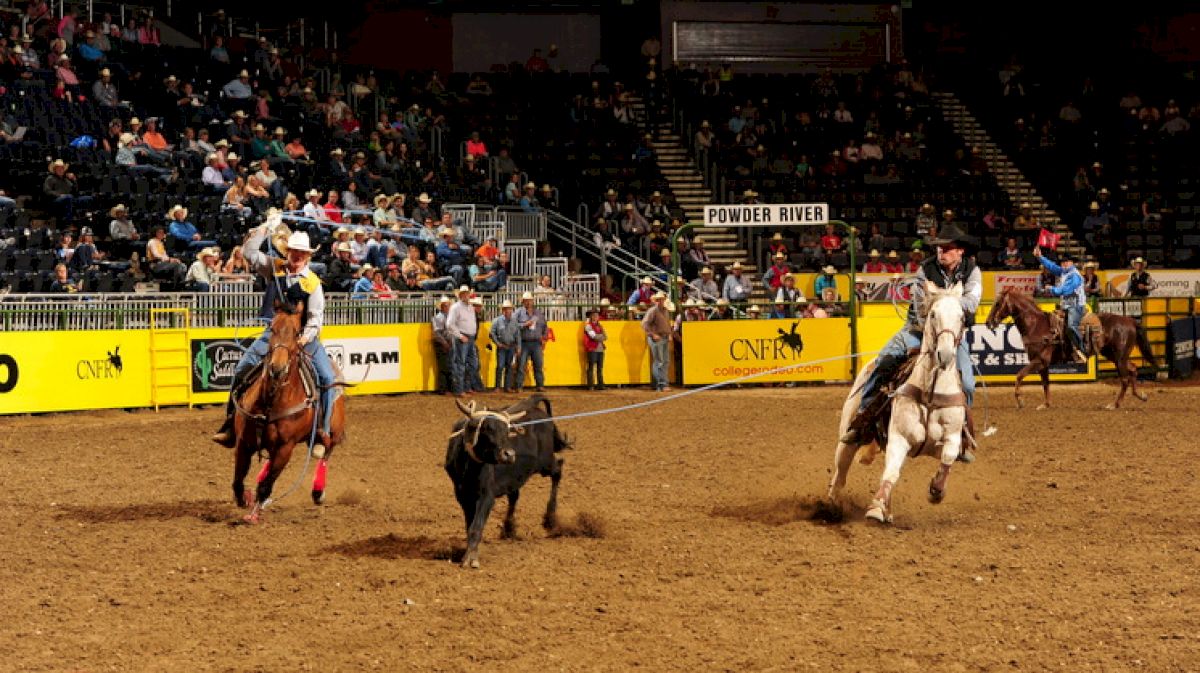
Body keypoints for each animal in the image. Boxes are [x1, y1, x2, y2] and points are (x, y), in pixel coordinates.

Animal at [232, 302, 348, 523]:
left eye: (296, 333)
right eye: (272, 329)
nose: (277, 368)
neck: (270, 401)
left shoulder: (286, 447)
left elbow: (267, 485)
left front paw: (253, 514)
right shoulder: (244, 441)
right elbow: (238, 479)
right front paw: (245, 499)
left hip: (333, 432)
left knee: (326, 452)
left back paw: (318, 492)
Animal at [830, 283, 969, 525]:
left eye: (961, 317)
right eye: (933, 315)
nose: (944, 355)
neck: (930, 393)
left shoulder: (951, 438)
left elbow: (948, 457)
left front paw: (936, 491)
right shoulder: (899, 438)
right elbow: (891, 473)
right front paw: (876, 507)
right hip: (849, 437)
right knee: (841, 472)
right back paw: (833, 506)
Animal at [984, 284, 1152, 407]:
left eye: (998, 303)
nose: (988, 322)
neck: (1037, 326)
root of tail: (1130, 321)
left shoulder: (1039, 361)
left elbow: (1019, 375)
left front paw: (1020, 401)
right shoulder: (1043, 364)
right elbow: (1045, 383)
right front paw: (1046, 404)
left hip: (1119, 356)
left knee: (1124, 378)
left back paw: (1115, 404)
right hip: (1114, 355)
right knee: (1133, 369)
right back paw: (1141, 395)